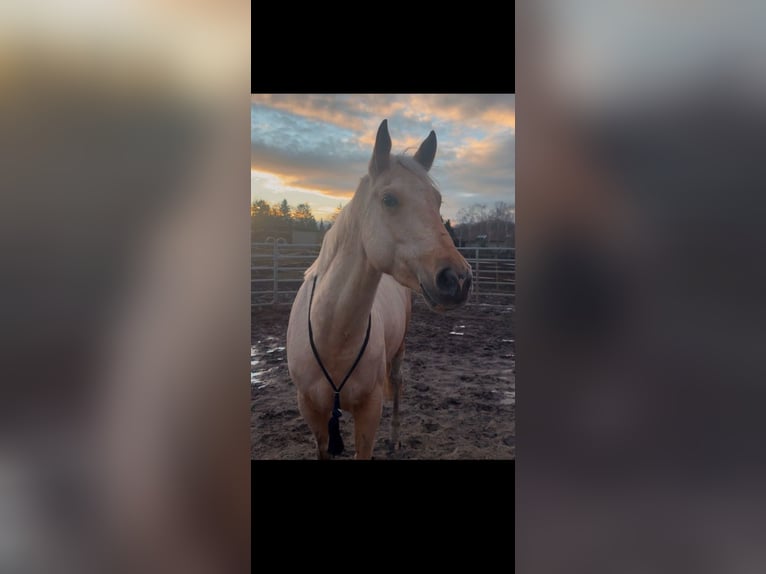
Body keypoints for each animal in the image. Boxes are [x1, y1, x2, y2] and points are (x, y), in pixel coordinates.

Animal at [286, 119, 472, 459]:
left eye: (437, 201)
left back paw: (395, 438)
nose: (459, 279)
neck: (332, 334)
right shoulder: (312, 413)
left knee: (397, 385)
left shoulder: (370, 411)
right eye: (389, 199)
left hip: (399, 353)